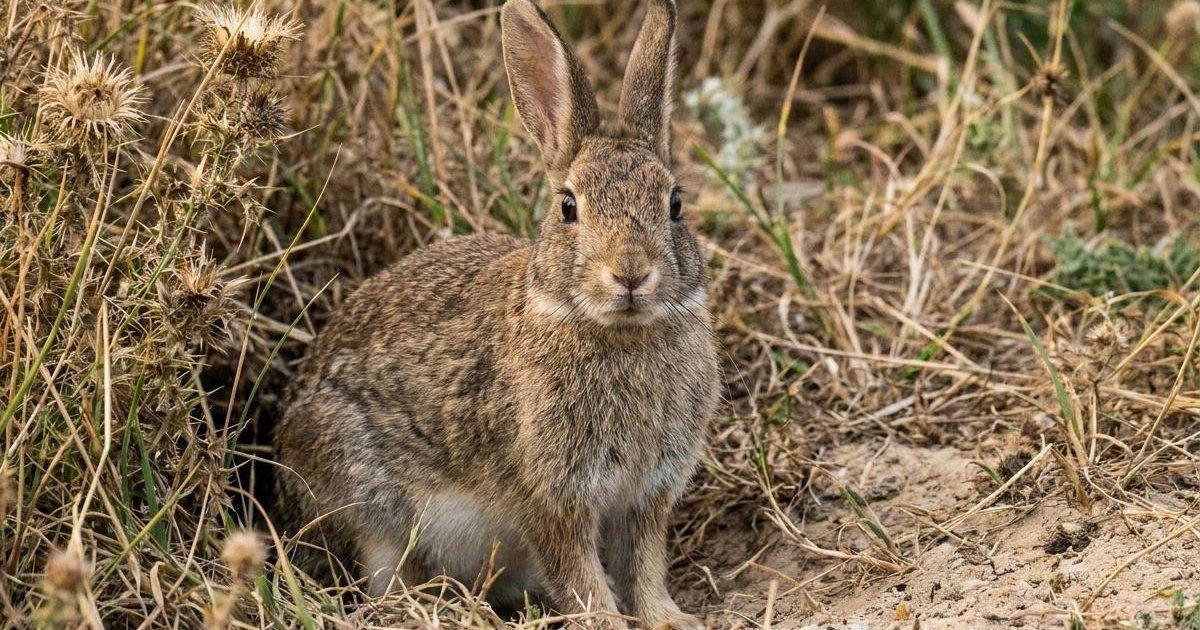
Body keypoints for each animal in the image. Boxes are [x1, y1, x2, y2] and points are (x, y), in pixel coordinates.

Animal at [273, 0, 717, 628]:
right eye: (568, 207)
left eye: (675, 203)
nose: (631, 273)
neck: (617, 333)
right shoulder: (551, 498)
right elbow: (580, 577)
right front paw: (608, 620)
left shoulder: (647, 493)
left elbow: (644, 567)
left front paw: (668, 618)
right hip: (361, 495)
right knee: (384, 582)